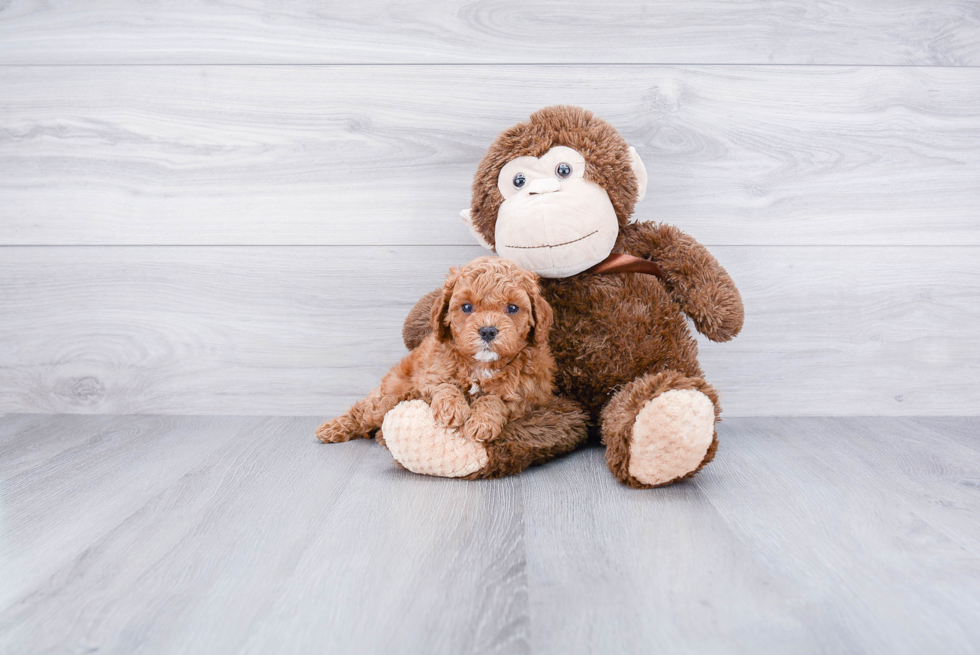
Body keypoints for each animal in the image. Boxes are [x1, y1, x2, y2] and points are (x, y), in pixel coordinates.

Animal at [318, 256, 556, 446]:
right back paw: (332, 428)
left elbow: (495, 400)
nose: (488, 331)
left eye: (513, 308)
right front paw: (452, 408)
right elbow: (444, 385)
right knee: (363, 411)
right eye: (467, 307)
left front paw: (481, 422)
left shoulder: (525, 396)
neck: (481, 365)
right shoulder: (430, 373)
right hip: (391, 392)